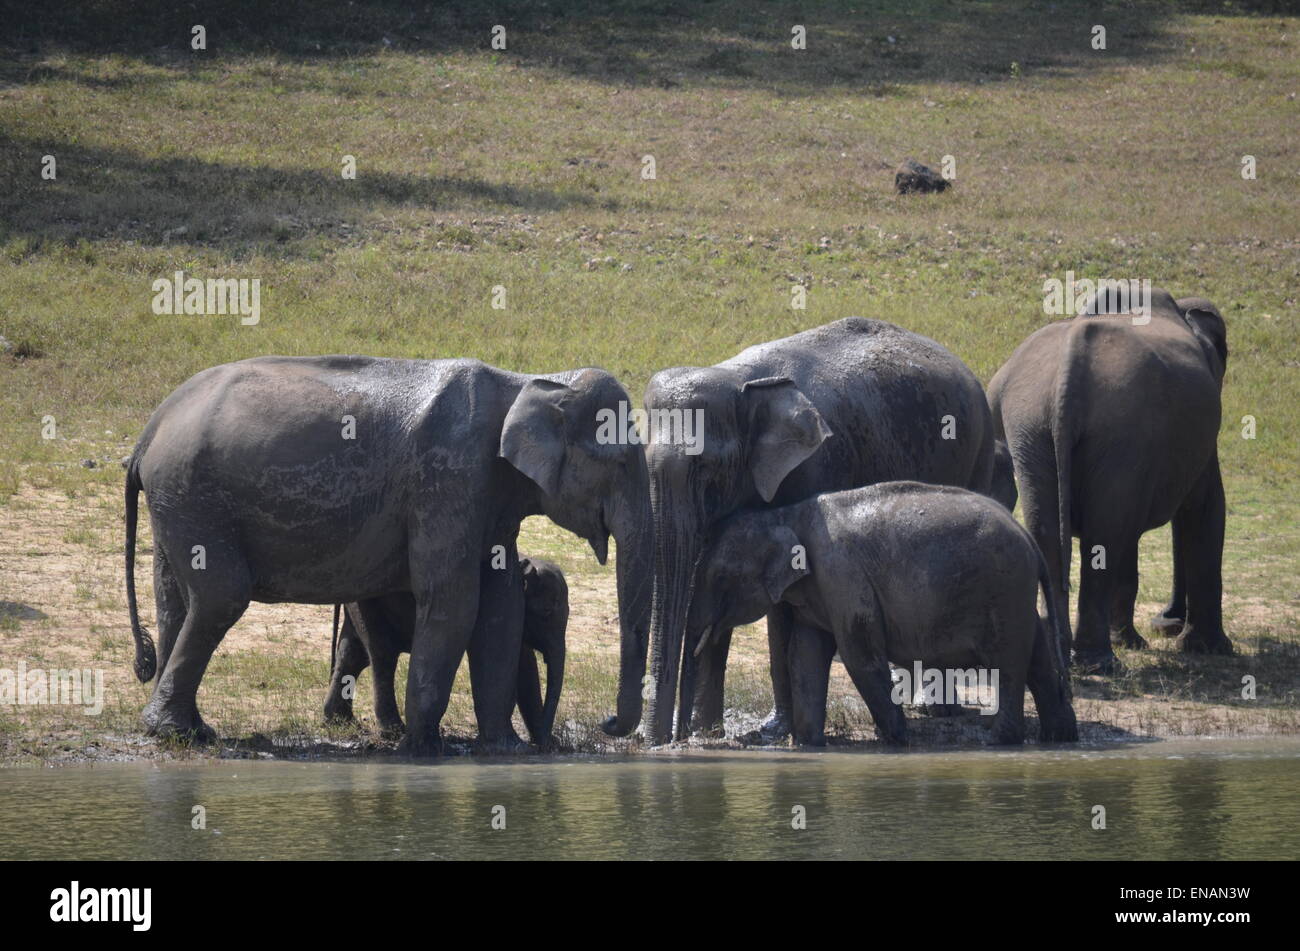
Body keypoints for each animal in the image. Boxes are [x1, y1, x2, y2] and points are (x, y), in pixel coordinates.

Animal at [322, 556, 566, 748]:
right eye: (546, 612)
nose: (547, 743)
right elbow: (523, 667)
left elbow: (525, 667)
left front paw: (547, 742)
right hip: (368, 601)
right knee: (381, 652)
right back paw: (393, 732)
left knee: (351, 654)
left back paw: (339, 722)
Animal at [603, 315, 998, 748]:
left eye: (705, 469)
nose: (669, 740)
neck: (738, 379)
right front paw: (713, 732)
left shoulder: (815, 466)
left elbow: (783, 605)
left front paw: (771, 732)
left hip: (978, 451)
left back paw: (940, 710)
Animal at [681, 485, 1076, 748]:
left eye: (719, 576)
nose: (691, 735)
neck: (785, 514)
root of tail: (1030, 541)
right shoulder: (818, 591)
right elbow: (805, 655)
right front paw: (809, 745)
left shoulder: (842, 574)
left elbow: (859, 654)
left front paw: (897, 741)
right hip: (1014, 594)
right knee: (1037, 654)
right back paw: (1058, 735)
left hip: (1003, 588)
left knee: (1008, 662)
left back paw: (999, 741)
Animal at [987, 285, 1232, 670]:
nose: (1166, 621)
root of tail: (1068, 376)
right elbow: (1206, 505)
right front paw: (1211, 649)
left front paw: (1135, 640)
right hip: (1120, 428)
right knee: (1105, 532)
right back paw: (1100, 662)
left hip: (1029, 426)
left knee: (1054, 527)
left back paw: (1068, 654)